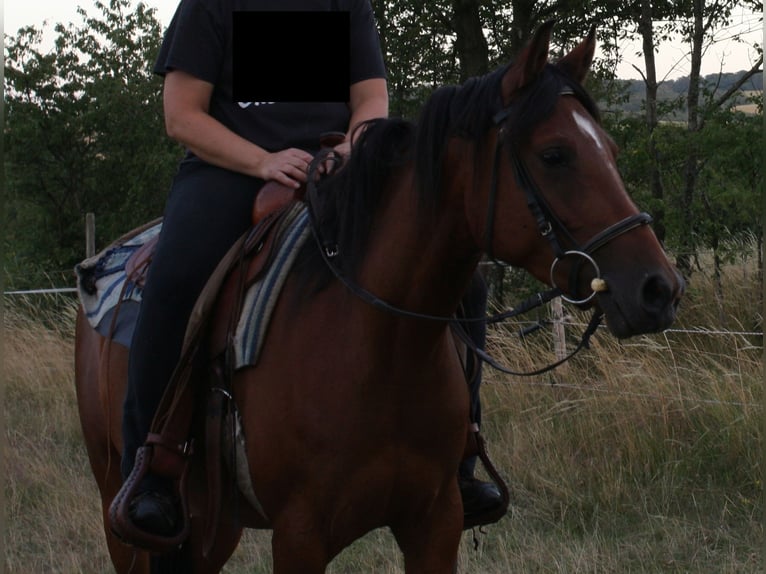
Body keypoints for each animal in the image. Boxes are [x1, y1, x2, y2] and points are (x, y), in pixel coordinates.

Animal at [74, 21, 683, 573]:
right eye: (555, 155)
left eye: (610, 149)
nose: (660, 289)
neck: (378, 347)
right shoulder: (299, 536)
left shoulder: (435, 522)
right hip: (123, 510)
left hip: (211, 524)